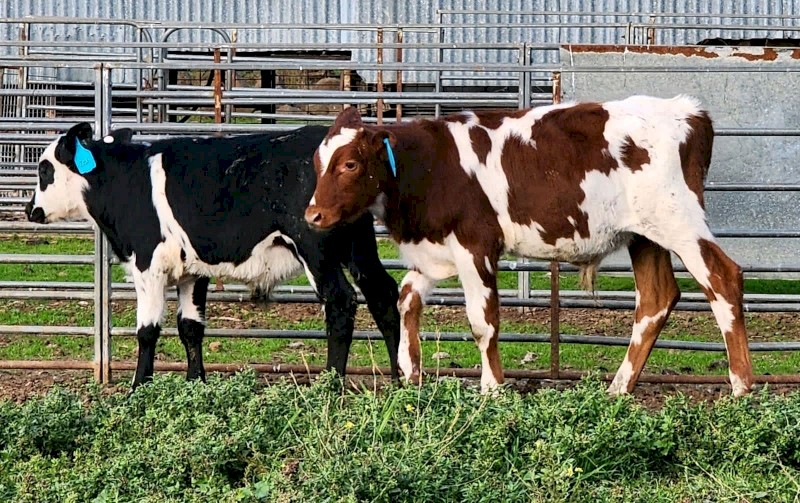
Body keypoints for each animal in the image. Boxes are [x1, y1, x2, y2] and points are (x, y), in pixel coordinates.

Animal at [25, 122, 401, 389]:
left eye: (44, 169)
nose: (30, 209)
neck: (127, 182)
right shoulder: (193, 270)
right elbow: (190, 327)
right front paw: (196, 383)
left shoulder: (148, 265)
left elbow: (147, 330)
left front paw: (138, 388)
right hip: (359, 245)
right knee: (382, 294)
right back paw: (399, 380)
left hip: (316, 249)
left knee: (340, 302)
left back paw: (329, 385)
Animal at [304, 95, 754, 397]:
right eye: (317, 163)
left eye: (350, 164)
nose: (313, 215)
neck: (432, 165)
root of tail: (688, 111)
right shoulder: (434, 253)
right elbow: (407, 299)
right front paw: (411, 373)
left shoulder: (476, 246)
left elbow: (483, 322)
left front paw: (491, 390)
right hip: (644, 235)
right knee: (656, 298)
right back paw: (618, 390)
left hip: (679, 223)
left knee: (722, 278)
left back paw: (740, 387)